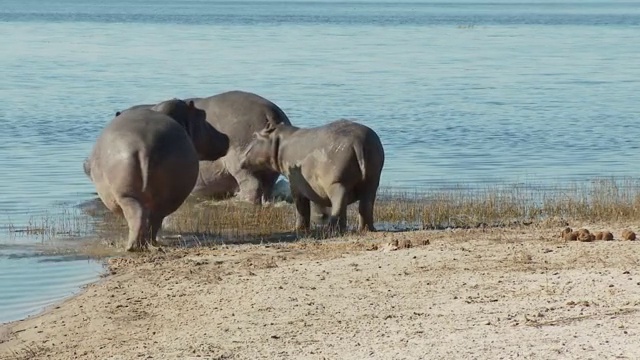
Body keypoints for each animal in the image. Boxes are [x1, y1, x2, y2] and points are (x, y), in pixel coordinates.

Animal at [85, 98, 229, 250]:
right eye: (203, 114)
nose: (226, 136)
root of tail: (143, 146)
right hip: (163, 198)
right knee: (152, 218)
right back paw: (144, 244)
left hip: (128, 195)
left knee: (140, 217)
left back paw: (135, 246)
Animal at [240, 119, 384, 232]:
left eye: (255, 135)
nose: (240, 154)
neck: (280, 141)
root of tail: (358, 141)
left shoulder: (295, 185)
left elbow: (302, 207)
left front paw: (299, 228)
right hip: (372, 181)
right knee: (366, 205)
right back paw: (366, 229)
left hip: (337, 183)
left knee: (339, 203)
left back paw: (332, 229)